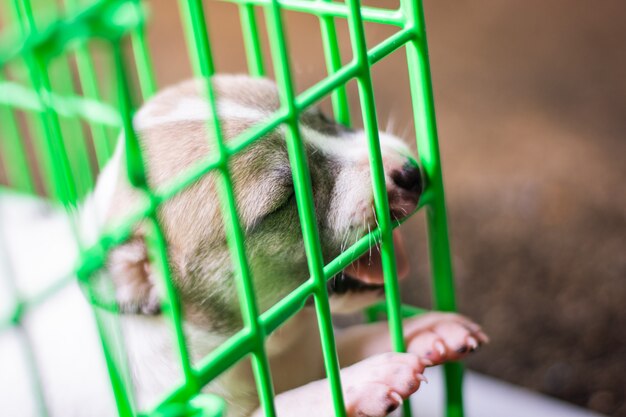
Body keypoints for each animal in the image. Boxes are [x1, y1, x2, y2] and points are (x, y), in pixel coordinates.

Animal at [0, 75, 488, 416]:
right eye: (286, 200)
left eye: (322, 116)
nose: (411, 173)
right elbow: (296, 399)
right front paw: (366, 379)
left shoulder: (300, 354)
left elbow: (342, 348)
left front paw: (425, 331)